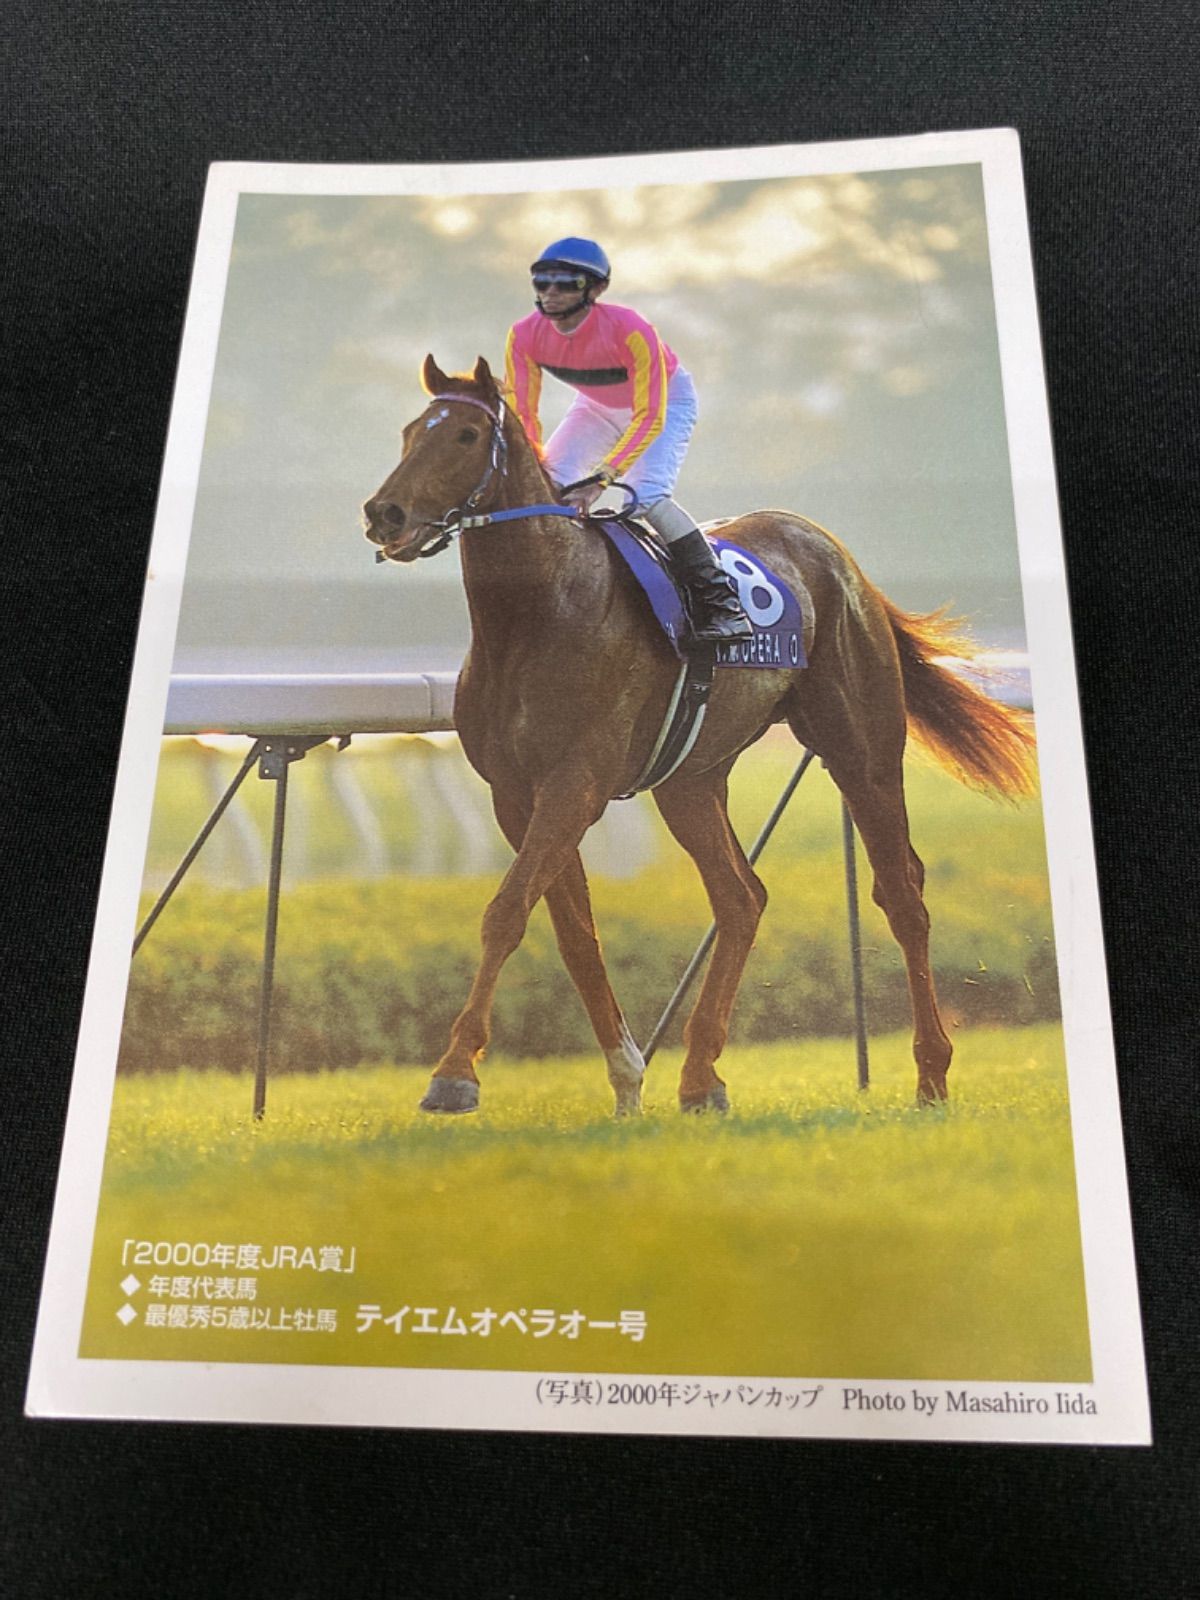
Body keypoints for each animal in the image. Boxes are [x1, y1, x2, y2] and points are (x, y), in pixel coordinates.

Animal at [362, 354, 1035, 1116]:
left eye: (467, 435)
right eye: (411, 431)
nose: (384, 512)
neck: (538, 612)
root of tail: (837, 556)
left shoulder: (574, 784)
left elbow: (507, 911)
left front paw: (454, 1074)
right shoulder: (516, 793)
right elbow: (573, 933)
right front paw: (627, 1080)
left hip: (862, 751)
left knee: (902, 894)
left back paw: (930, 1073)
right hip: (690, 780)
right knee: (741, 897)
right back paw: (701, 1076)